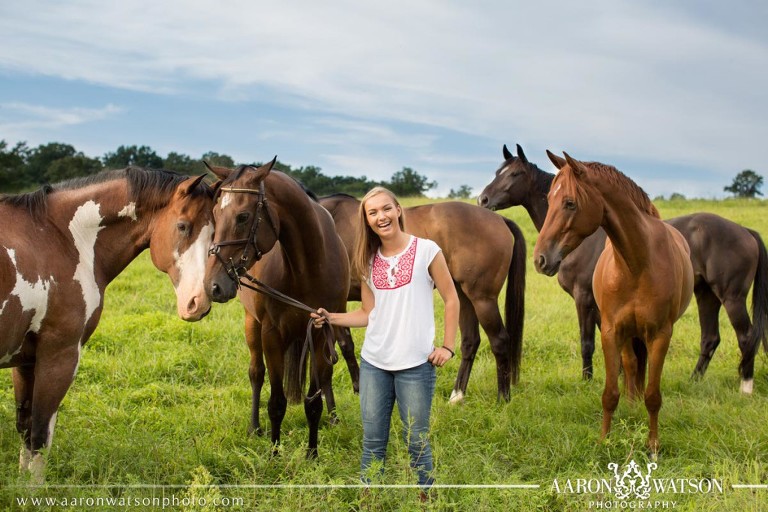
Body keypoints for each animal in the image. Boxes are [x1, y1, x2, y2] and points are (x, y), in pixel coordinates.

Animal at [0, 169, 216, 480]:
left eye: (214, 234)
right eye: (183, 226)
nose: (199, 302)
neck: (58, 238)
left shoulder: (26, 360)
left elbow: (26, 430)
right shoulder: (59, 357)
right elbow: (40, 435)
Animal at [202, 158, 350, 458]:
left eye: (243, 216)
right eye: (215, 213)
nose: (213, 286)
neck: (309, 267)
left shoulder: (320, 331)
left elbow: (313, 401)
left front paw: (312, 454)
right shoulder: (271, 334)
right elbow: (276, 401)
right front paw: (273, 453)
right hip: (252, 324)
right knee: (256, 374)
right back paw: (255, 428)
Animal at [318, 194, 528, 402]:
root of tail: (500, 219)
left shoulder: (336, 303)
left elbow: (342, 347)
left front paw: (354, 390)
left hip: (483, 299)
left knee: (499, 341)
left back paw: (503, 398)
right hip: (462, 295)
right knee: (470, 341)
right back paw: (457, 395)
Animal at [480, 144, 768, 392]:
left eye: (514, 174)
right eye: (498, 172)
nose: (483, 199)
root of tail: (746, 232)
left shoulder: (584, 298)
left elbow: (587, 343)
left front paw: (587, 381)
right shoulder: (604, 306)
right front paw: (620, 377)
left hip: (731, 297)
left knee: (746, 336)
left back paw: (746, 386)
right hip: (706, 294)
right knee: (710, 338)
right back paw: (693, 381)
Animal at [536, 151, 696, 456]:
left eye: (570, 203)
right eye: (548, 199)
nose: (540, 259)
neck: (636, 264)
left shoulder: (660, 335)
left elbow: (653, 395)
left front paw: (653, 446)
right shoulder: (610, 331)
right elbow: (611, 392)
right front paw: (604, 441)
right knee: (631, 366)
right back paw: (631, 408)